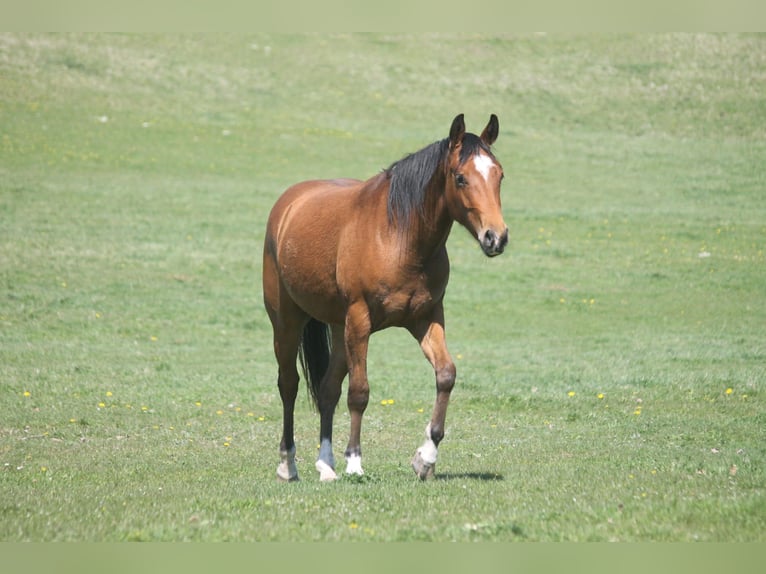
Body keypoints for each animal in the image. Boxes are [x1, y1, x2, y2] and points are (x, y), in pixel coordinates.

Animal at [262, 114, 508, 481]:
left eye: (499, 175)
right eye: (461, 177)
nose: (496, 237)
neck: (399, 237)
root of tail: (288, 205)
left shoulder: (426, 318)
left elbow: (446, 374)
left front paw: (426, 458)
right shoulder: (360, 320)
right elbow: (359, 392)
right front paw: (354, 460)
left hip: (340, 328)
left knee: (327, 389)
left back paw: (326, 465)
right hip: (288, 321)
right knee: (289, 384)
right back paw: (288, 464)